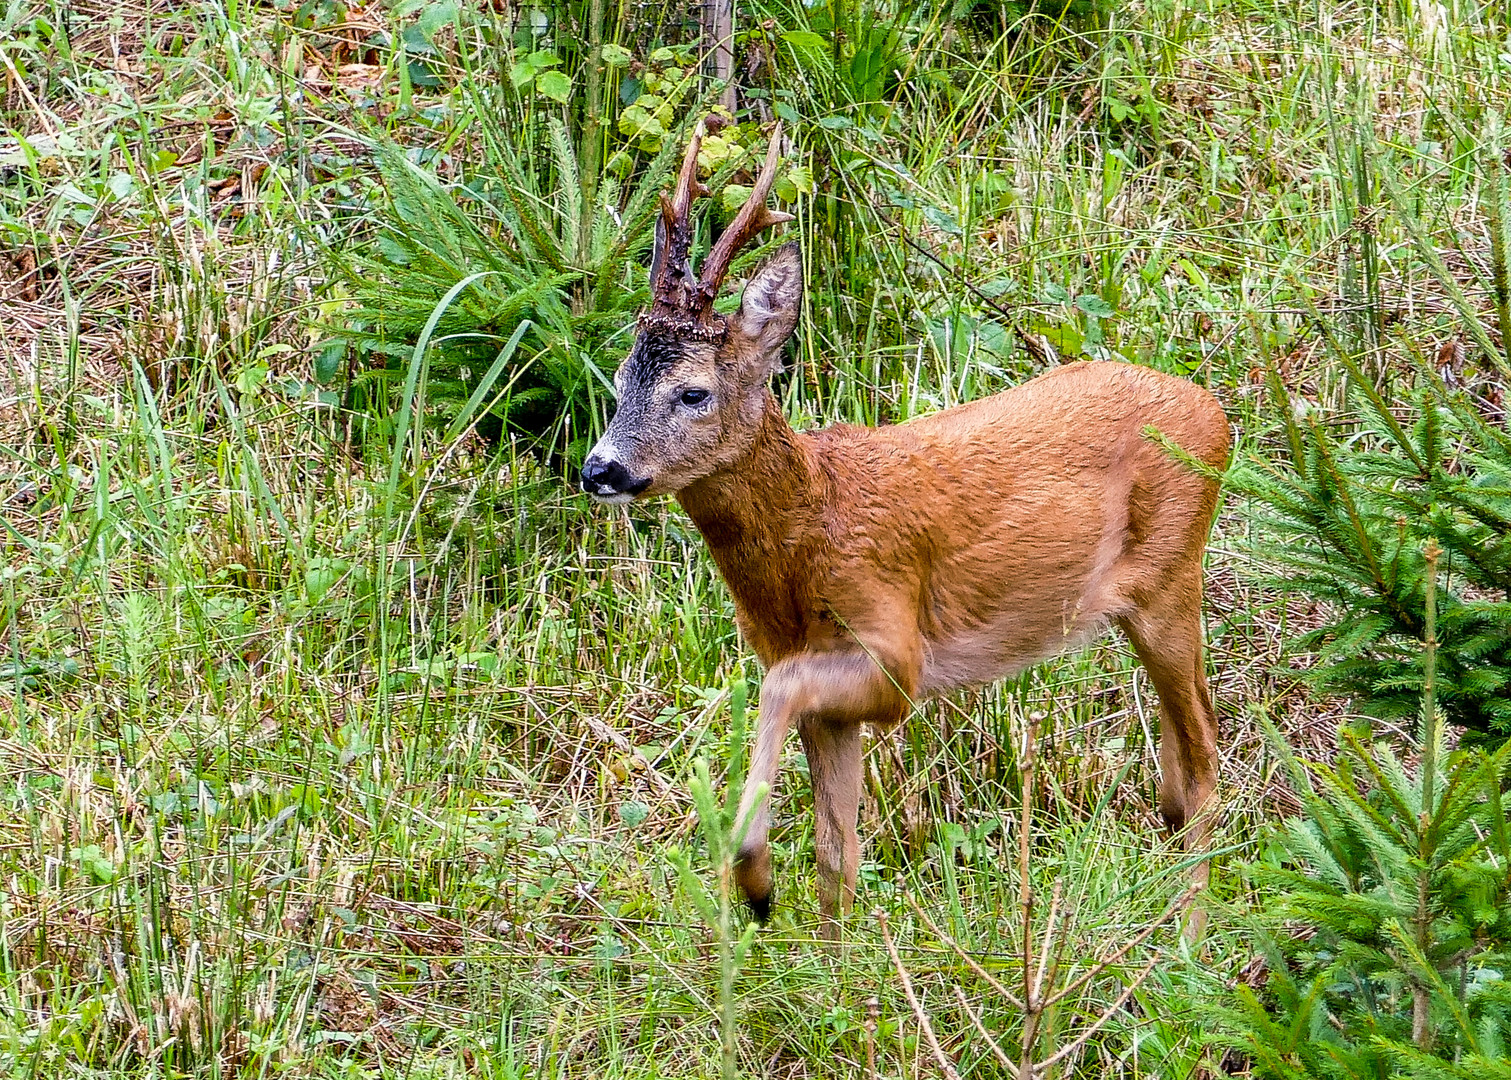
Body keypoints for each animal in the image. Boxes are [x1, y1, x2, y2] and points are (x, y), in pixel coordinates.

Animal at [577, 124, 1226, 936]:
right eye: (619, 381)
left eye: (692, 392)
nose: (599, 469)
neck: (809, 529)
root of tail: (1217, 414)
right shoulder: (816, 681)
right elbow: (837, 854)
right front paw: (825, 957)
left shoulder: (892, 649)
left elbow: (781, 693)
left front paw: (754, 877)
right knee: (1183, 756)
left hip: (1170, 577)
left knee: (1203, 763)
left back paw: (1188, 943)